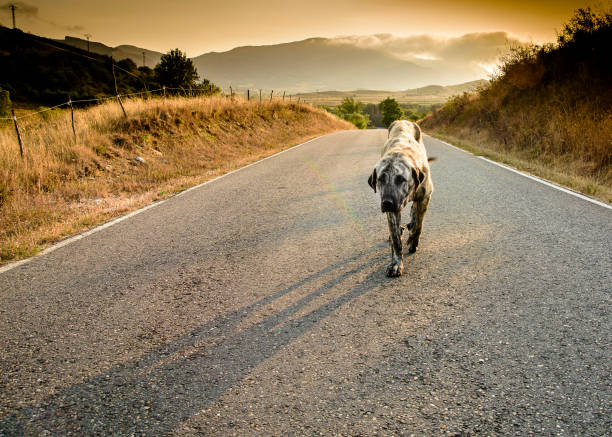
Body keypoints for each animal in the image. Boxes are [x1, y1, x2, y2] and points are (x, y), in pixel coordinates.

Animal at [368, 120, 436, 276]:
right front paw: (396, 263)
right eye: (380, 179)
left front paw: (413, 241)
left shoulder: (425, 197)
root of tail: (403, 121)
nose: (387, 202)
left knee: (415, 214)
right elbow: (396, 239)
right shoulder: (393, 211)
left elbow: (418, 226)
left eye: (400, 179)